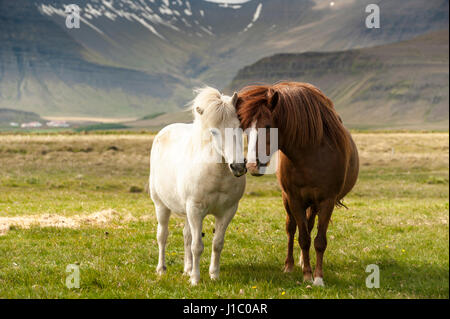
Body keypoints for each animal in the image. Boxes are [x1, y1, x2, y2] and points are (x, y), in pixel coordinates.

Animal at [149, 86, 244, 286]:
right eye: (214, 132)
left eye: (239, 127)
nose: (238, 167)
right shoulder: (195, 209)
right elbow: (197, 246)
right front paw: (195, 279)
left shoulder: (228, 211)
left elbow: (217, 243)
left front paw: (213, 275)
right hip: (161, 206)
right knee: (162, 236)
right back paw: (161, 269)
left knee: (186, 235)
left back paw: (187, 268)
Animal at [236, 82, 358, 288]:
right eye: (244, 129)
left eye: (267, 126)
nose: (252, 165)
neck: (310, 155)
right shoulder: (294, 200)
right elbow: (303, 238)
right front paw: (307, 275)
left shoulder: (327, 201)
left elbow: (319, 240)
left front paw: (318, 277)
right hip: (288, 201)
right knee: (291, 229)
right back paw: (290, 265)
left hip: (314, 204)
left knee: (309, 225)